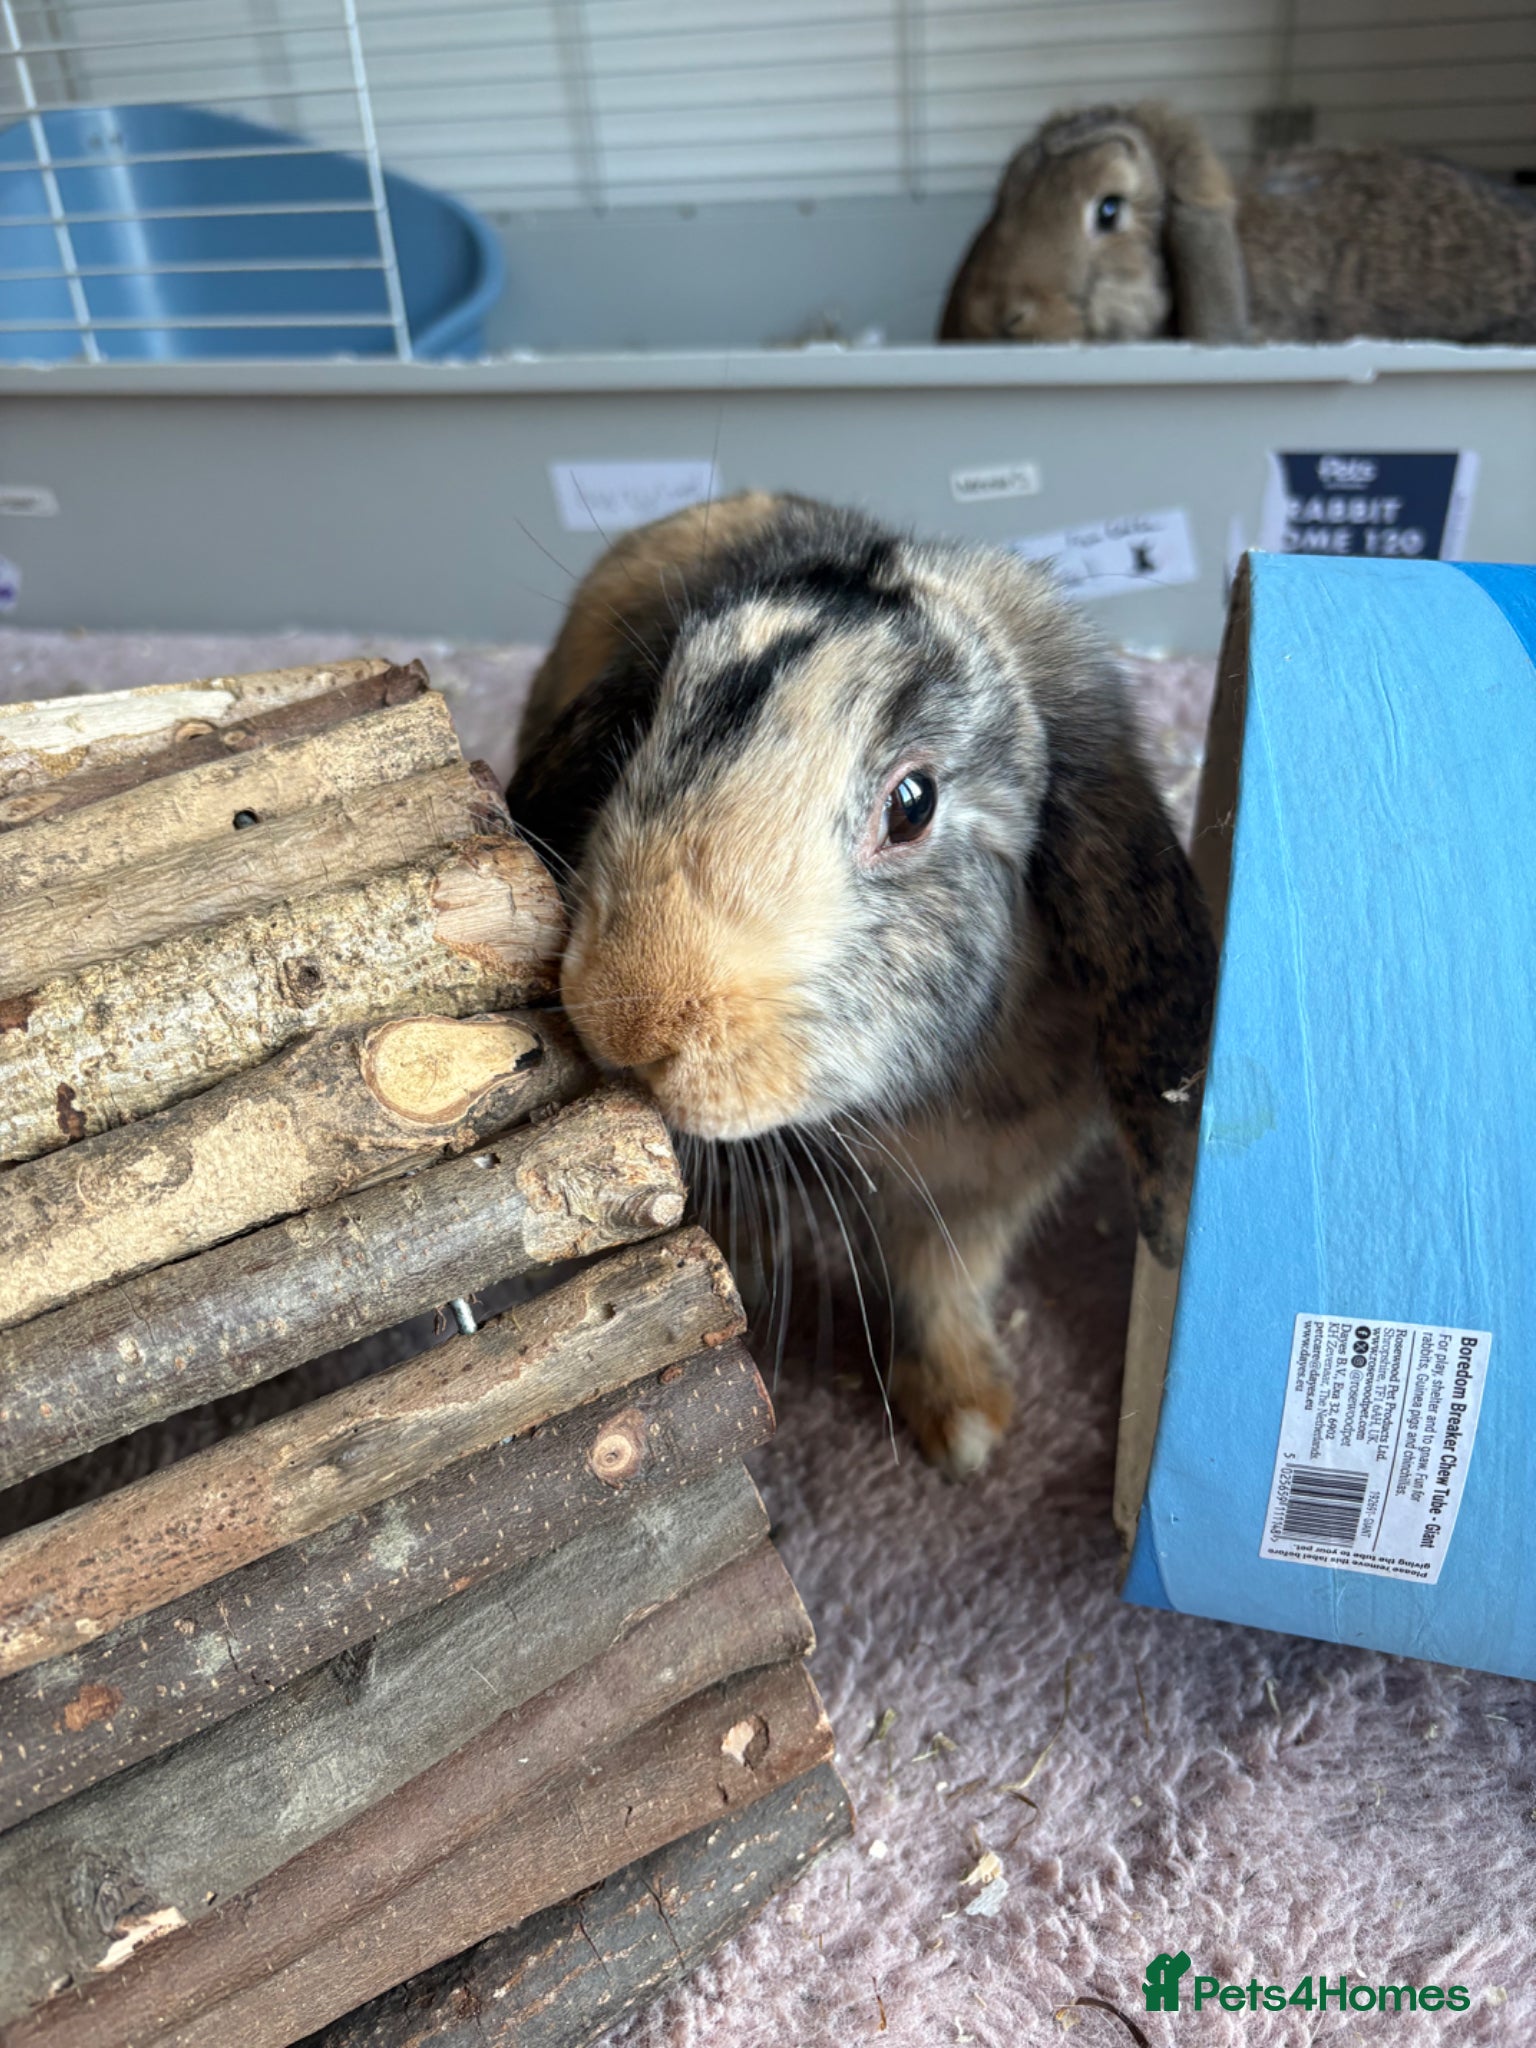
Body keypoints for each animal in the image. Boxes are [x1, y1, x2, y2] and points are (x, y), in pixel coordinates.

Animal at [509, 492, 1215, 1479]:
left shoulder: (987, 1188)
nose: (631, 1019)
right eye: (645, 730)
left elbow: (942, 1284)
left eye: (912, 804)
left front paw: (965, 1428)